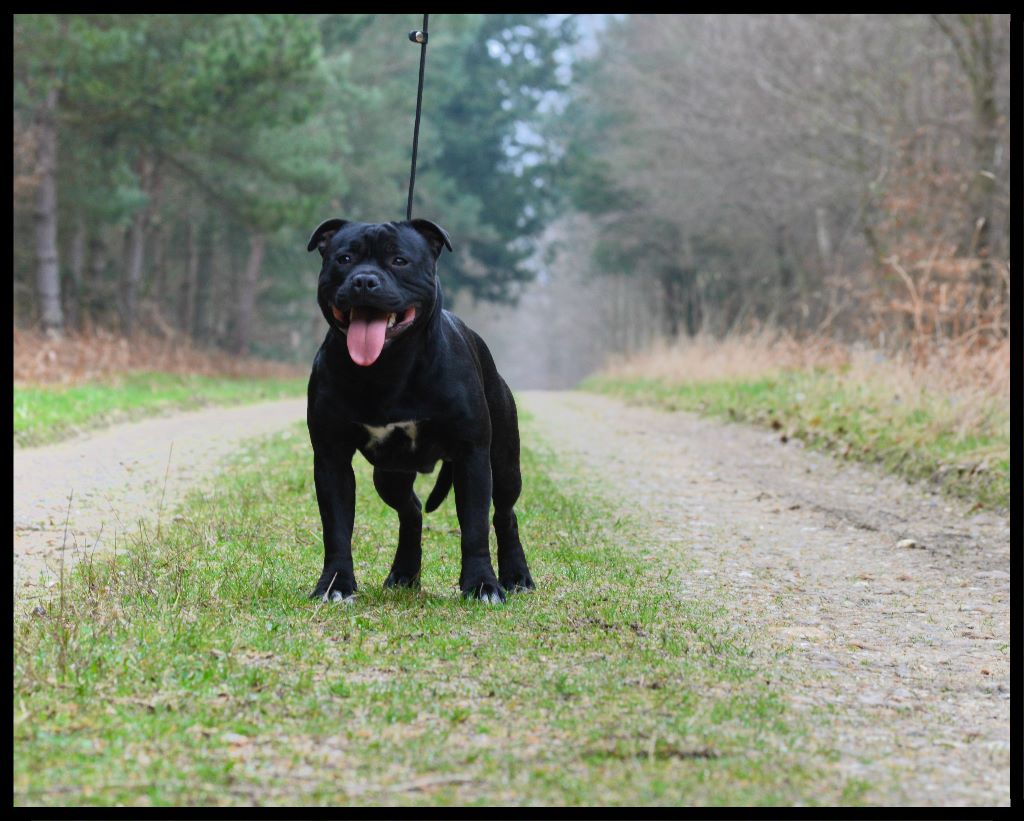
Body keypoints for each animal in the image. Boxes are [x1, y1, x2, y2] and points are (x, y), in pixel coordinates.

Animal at [303, 217, 536, 601]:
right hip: (390, 474)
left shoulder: (473, 455)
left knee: (504, 513)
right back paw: (403, 573)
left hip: (503, 464)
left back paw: (517, 576)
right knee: (410, 511)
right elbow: (336, 529)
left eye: (399, 260)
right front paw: (335, 585)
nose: (364, 280)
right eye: (344, 258)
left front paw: (481, 585)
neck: (388, 368)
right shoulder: (331, 459)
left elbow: (475, 527)